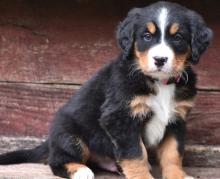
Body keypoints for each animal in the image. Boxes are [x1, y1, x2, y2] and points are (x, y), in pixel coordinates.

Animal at [0, 1, 213, 179]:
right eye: (147, 36)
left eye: (178, 37)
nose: (160, 60)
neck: (159, 82)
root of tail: (50, 140)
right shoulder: (120, 119)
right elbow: (136, 154)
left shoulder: (176, 120)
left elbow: (172, 154)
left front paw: (178, 176)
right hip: (70, 135)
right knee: (57, 161)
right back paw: (80, 171)